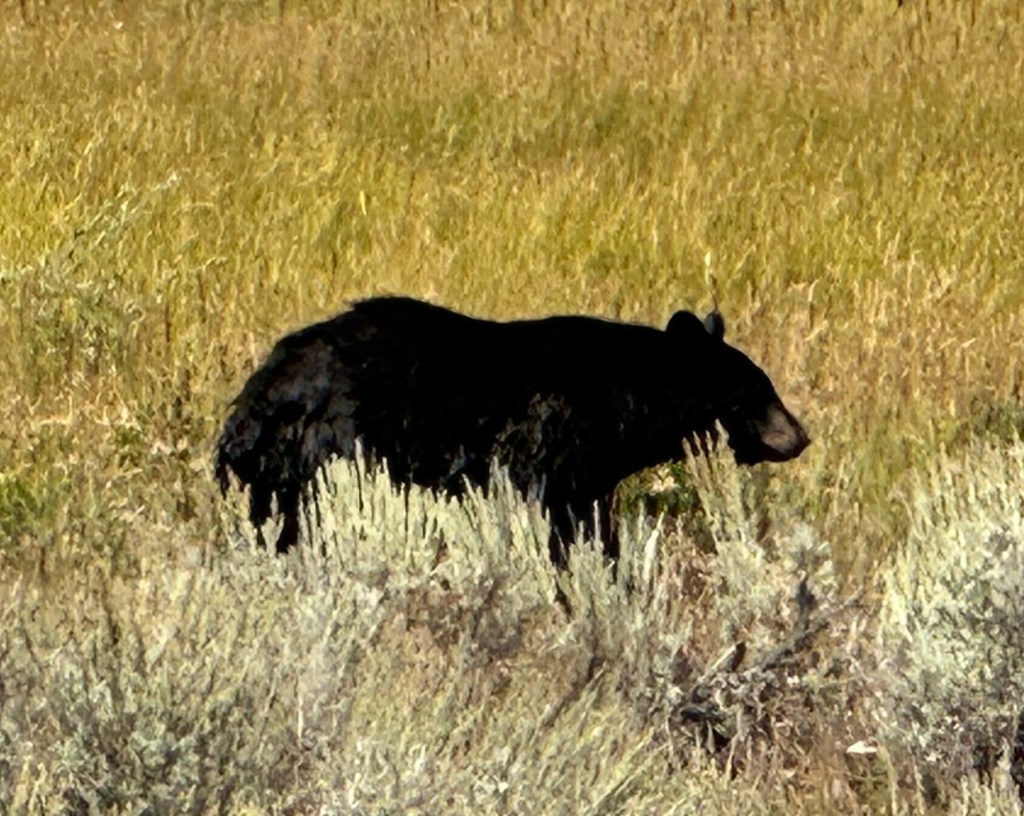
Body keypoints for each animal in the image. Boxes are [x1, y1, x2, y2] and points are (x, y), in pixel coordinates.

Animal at [215, 296, 809, 562]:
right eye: (755, 392)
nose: (799, 436)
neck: (625, 397)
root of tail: (257, 399)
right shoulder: (552, 441)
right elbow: (560, 520)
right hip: (330, 449)